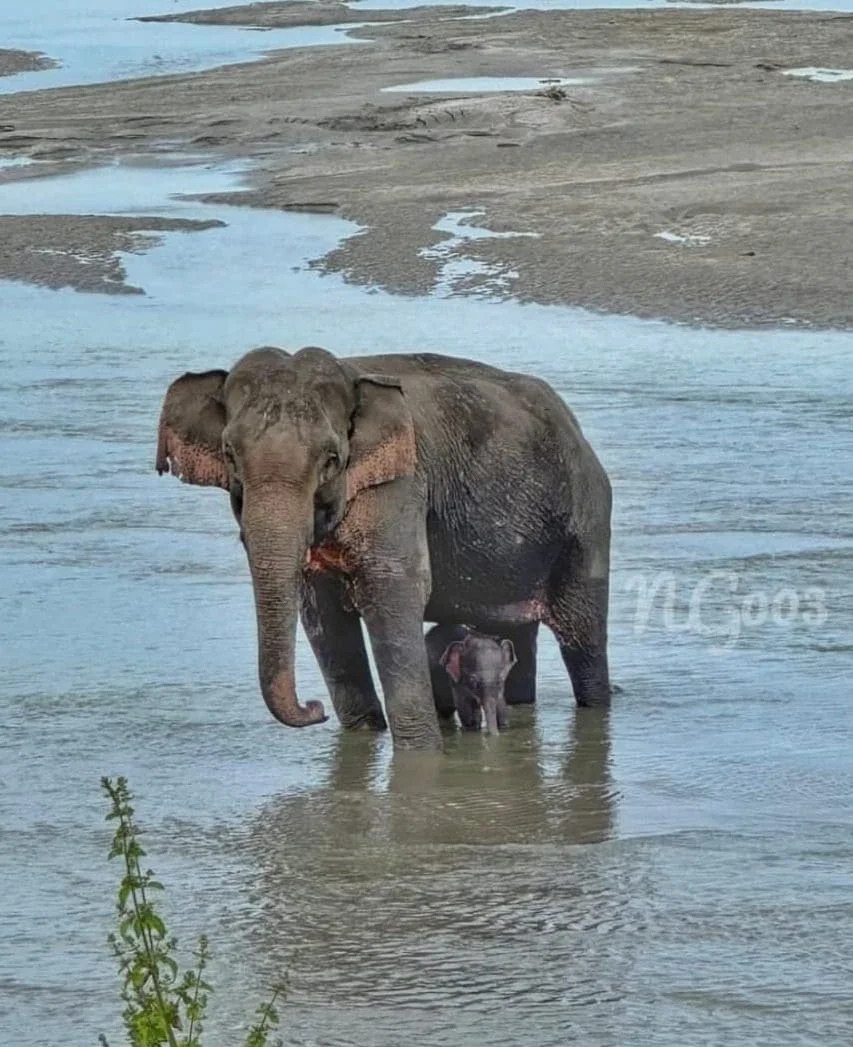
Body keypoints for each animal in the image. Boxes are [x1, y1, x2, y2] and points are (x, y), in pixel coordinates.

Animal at [155, 346, 612, 751]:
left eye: (332, 458)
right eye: (229, 453)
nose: (315, 709)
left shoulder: (403, 482)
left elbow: (391, 588)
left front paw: (420, 758)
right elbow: (321, 610)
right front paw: (362, 739)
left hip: (585, 525)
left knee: (583, 644)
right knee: (517, 638)